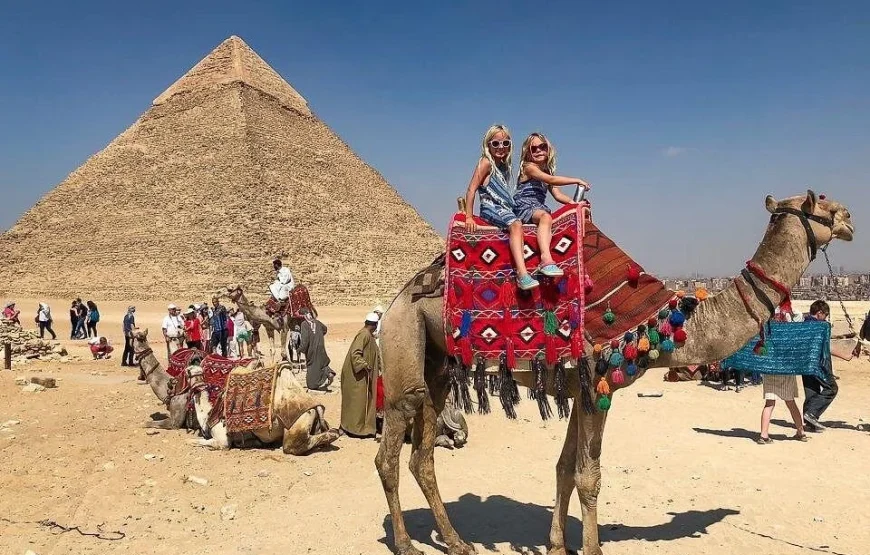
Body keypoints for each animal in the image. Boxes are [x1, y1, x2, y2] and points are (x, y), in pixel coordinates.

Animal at [186, 360, 341, 455]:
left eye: (187, 372)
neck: (208, 414)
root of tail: (315, 405)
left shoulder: (222, 440)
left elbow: (198, 442)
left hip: (298, 420)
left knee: (293, 446)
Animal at [375, 191, 854, 555]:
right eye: (820, 203)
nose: (850, 220)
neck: (664, 324)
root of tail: (399, 296)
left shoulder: (580, 389)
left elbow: (565, 467)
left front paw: (557, 544)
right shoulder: (598, 382)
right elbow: (589, 476)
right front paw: (591, 548)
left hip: (436, 366)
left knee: (423, 455)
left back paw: (457, 542)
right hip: (402, 343)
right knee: (390, 453)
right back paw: (407, 545)